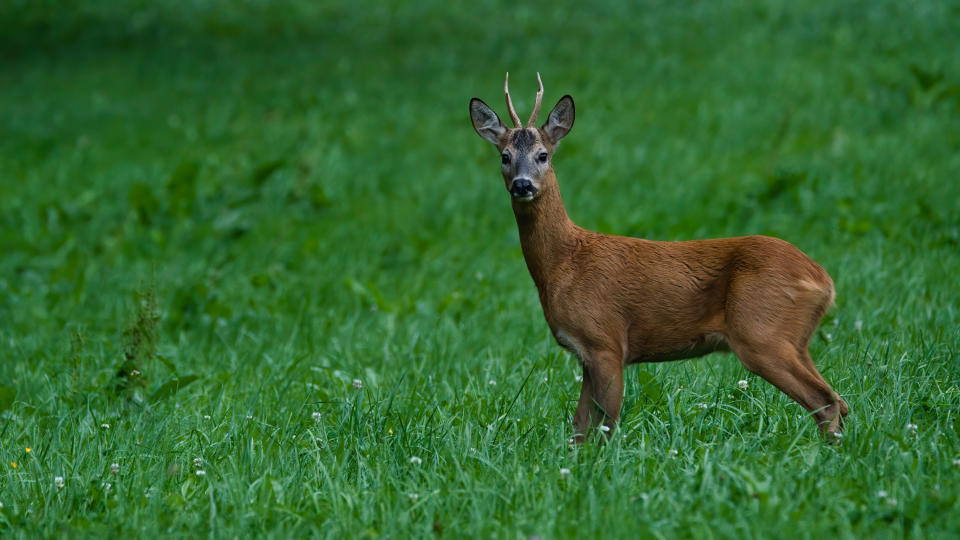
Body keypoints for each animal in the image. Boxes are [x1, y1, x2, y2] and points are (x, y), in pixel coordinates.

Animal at [468, 73, 852, 442]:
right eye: (504, 156)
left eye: (543, 155)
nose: (522, 185)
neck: (563, 265)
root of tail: (823, 279)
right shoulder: (587, 354)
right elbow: (579, 430)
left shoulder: (605, 340)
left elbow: (605, 426)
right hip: (794, 339)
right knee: (839, 400)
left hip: (761, 332)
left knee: (825, 400)